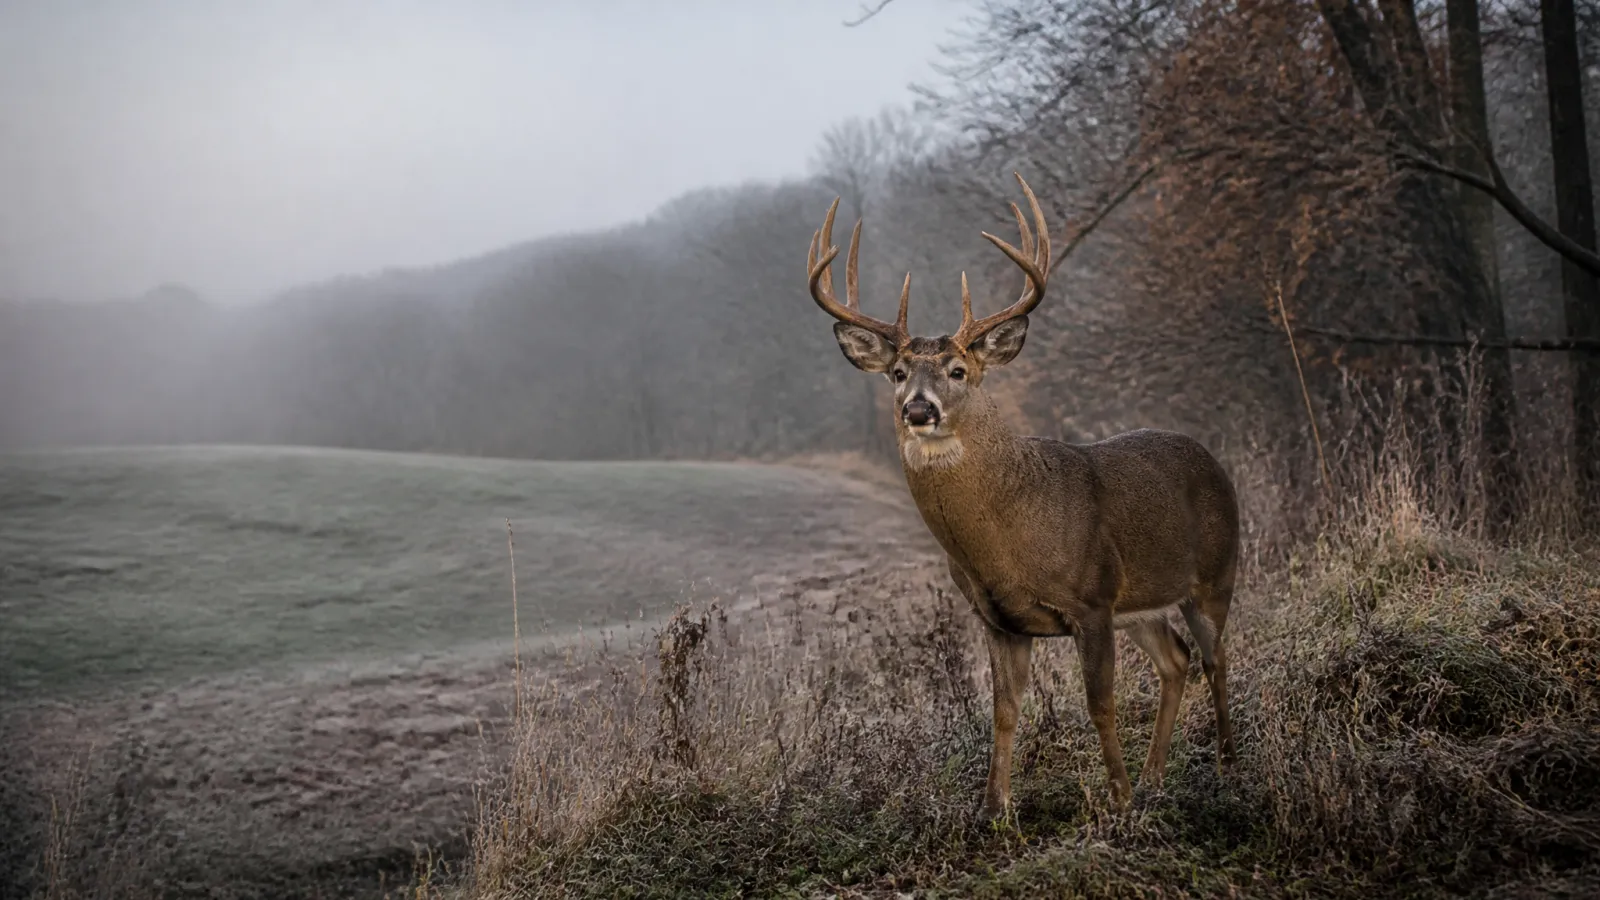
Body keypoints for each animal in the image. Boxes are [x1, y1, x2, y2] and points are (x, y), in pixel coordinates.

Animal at [802, 173, 1240, 820]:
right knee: (1176, 660)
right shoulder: (1000, 618)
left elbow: (1100, 703)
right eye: (899, 373)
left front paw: (1117, 799)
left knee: (1215, 657)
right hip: (1144, 602)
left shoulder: (1092, 598)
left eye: (958, 371)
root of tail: (1214, 461)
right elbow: (1003, 711)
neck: (1008, 541)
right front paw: (994, 809)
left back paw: (1226, 766)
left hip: (1215, 573)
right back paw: (1157, 778)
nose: (918, 410)